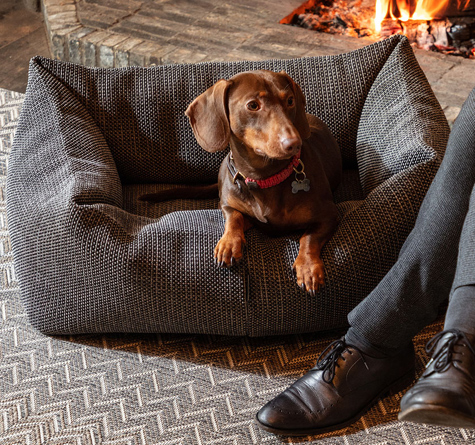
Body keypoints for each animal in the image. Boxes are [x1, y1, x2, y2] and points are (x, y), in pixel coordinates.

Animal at [141, 70, 342, 294]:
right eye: (253, 105)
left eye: (290, 100)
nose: (294, 143)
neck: (263, 178)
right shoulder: (228, 206)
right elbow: (234, 217)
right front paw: (229, 244)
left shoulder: (330, 214)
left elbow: (308, 237)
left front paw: (307, 267)